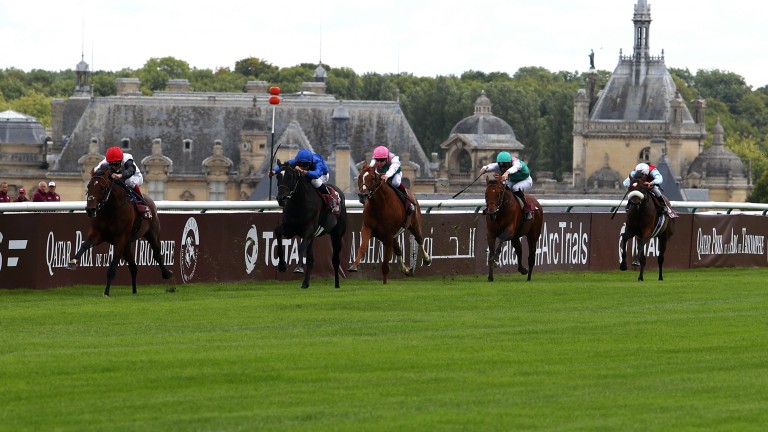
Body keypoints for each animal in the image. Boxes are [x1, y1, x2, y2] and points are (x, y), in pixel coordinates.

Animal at [272, 160, 348, 288]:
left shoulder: (309, 229)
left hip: (337, 235)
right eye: (277, 176)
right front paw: (282, 266)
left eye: (290, 176)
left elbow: (301, 246)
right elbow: (277, 232)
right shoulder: (290, 228)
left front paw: (298, 268)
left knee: (335, 259)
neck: (299, 202)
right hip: (313, 237)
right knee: (311, 260)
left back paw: (337, 284)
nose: (281, 199)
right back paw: (305, 283)